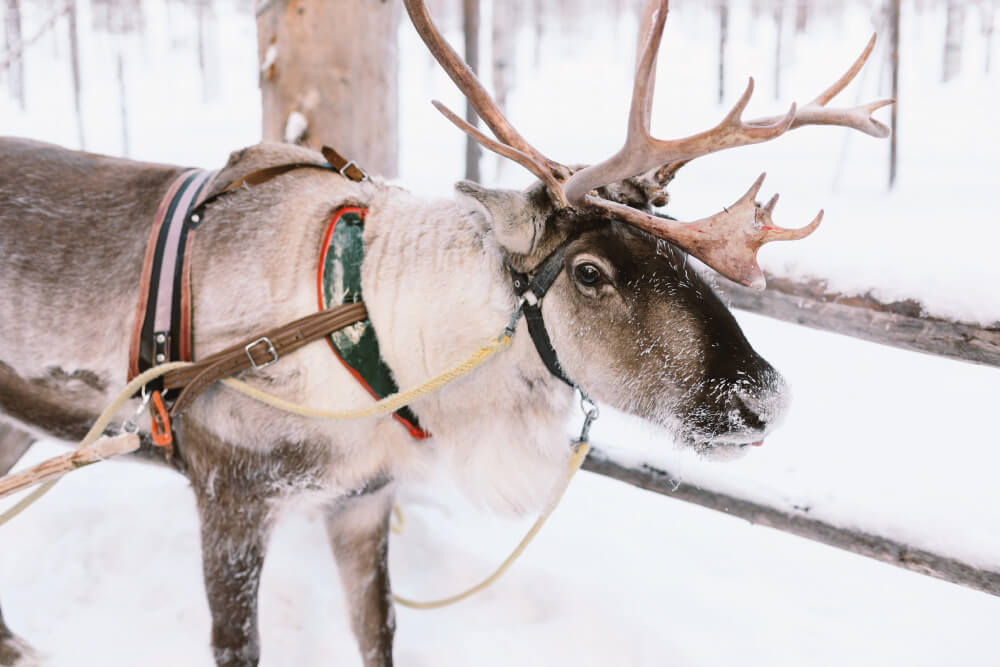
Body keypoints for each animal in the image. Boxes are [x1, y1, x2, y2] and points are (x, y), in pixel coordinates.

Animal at [0, 0, 891, 665]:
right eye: (590, 271)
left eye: (682, 256)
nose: (764, 398)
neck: (379, 334)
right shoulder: (230, 499)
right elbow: (238, 645)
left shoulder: (361, 501)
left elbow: (380, 635)